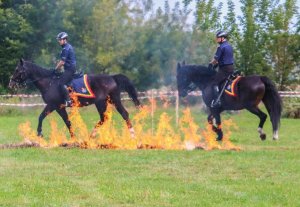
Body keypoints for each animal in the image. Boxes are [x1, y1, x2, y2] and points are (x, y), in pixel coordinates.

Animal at [9, 59, 141, 138]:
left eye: (17, 70)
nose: (11, 83)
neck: (49, 83)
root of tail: (112, 77)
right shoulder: (59, 107)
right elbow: (67, 121)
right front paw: (73, 138)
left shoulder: (53, 105)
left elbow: (41, 116)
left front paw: (39, 133)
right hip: (110, 101)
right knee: (119, 115)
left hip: (102, 102)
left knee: (111, 117)